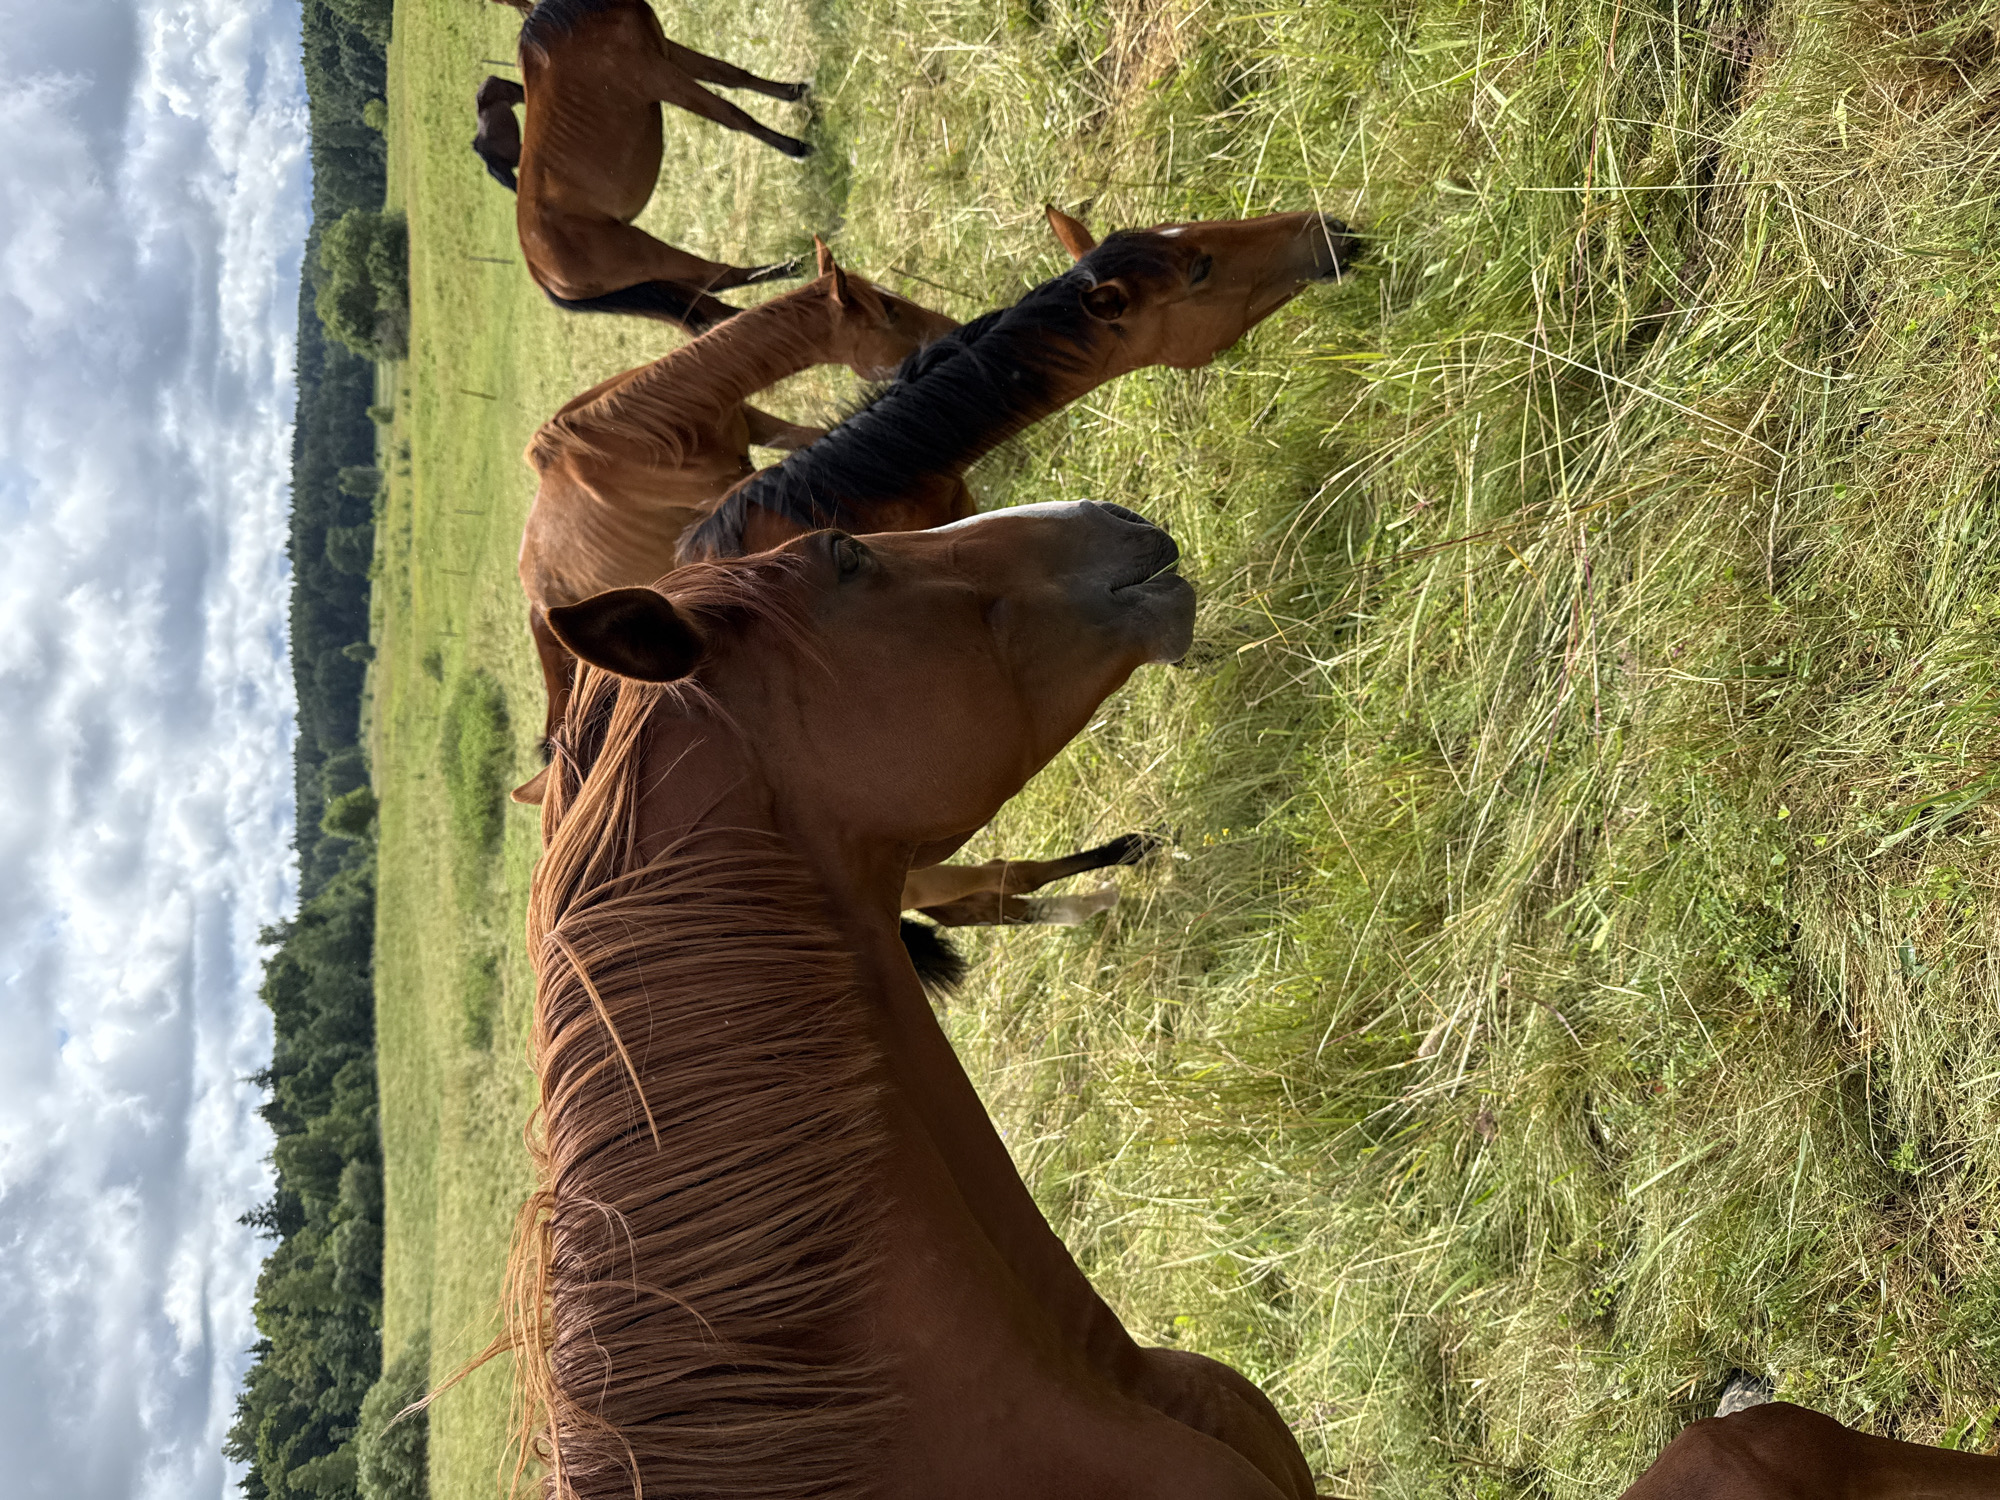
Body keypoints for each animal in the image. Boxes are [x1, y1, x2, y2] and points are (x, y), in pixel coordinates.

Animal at [484, 0, 812, 333]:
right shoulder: (658, 76)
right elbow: (732, 114)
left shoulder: (667, 51)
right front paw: (795, 147)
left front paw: (795, 90)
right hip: (649, 254)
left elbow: (731, 74)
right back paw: (797, 264)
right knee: (719, 277)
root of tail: (540, 272)